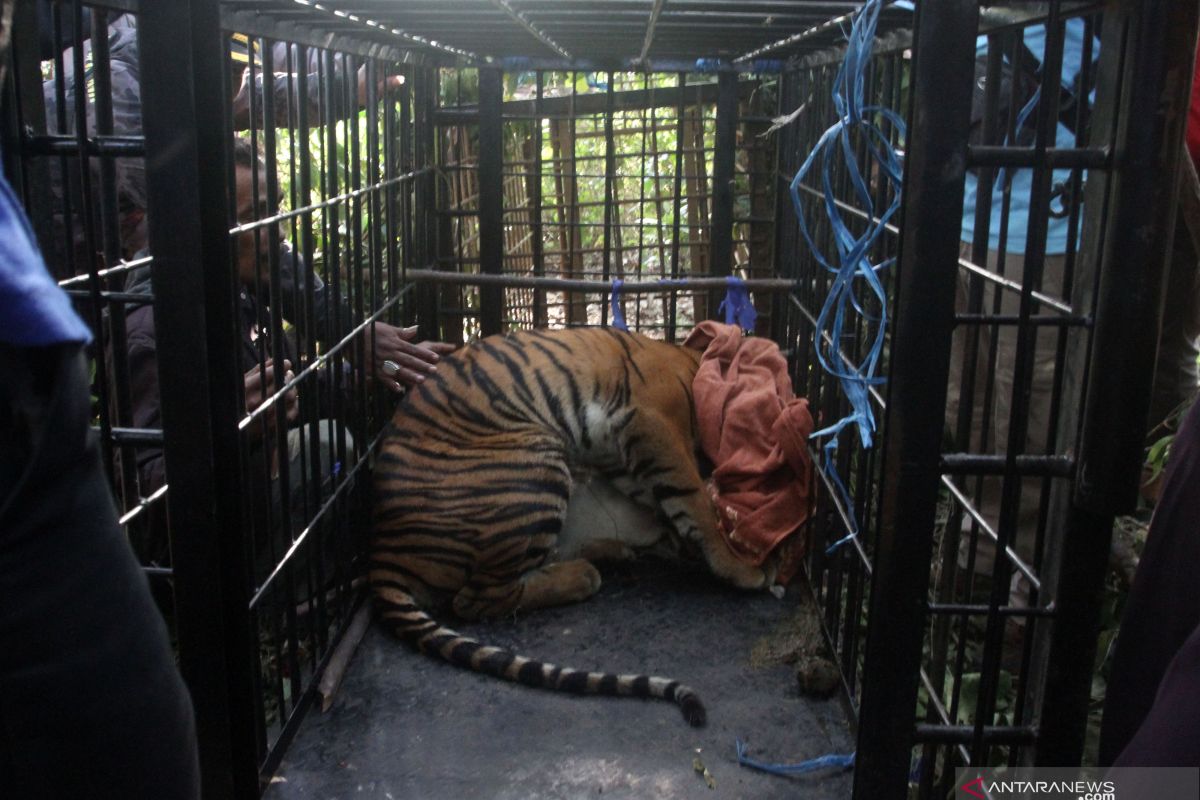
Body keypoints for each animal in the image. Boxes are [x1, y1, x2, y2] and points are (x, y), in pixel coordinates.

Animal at [369, 326, 772, 724]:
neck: (693, 365)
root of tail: (382, 549)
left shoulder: (617, 452)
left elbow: (659, 498)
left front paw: (683, 541)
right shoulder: (653, 421)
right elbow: (693, 498)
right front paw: (742, 569)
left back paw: (611, 553)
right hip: (534, 460)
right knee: (480, 598)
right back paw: (584, 575)